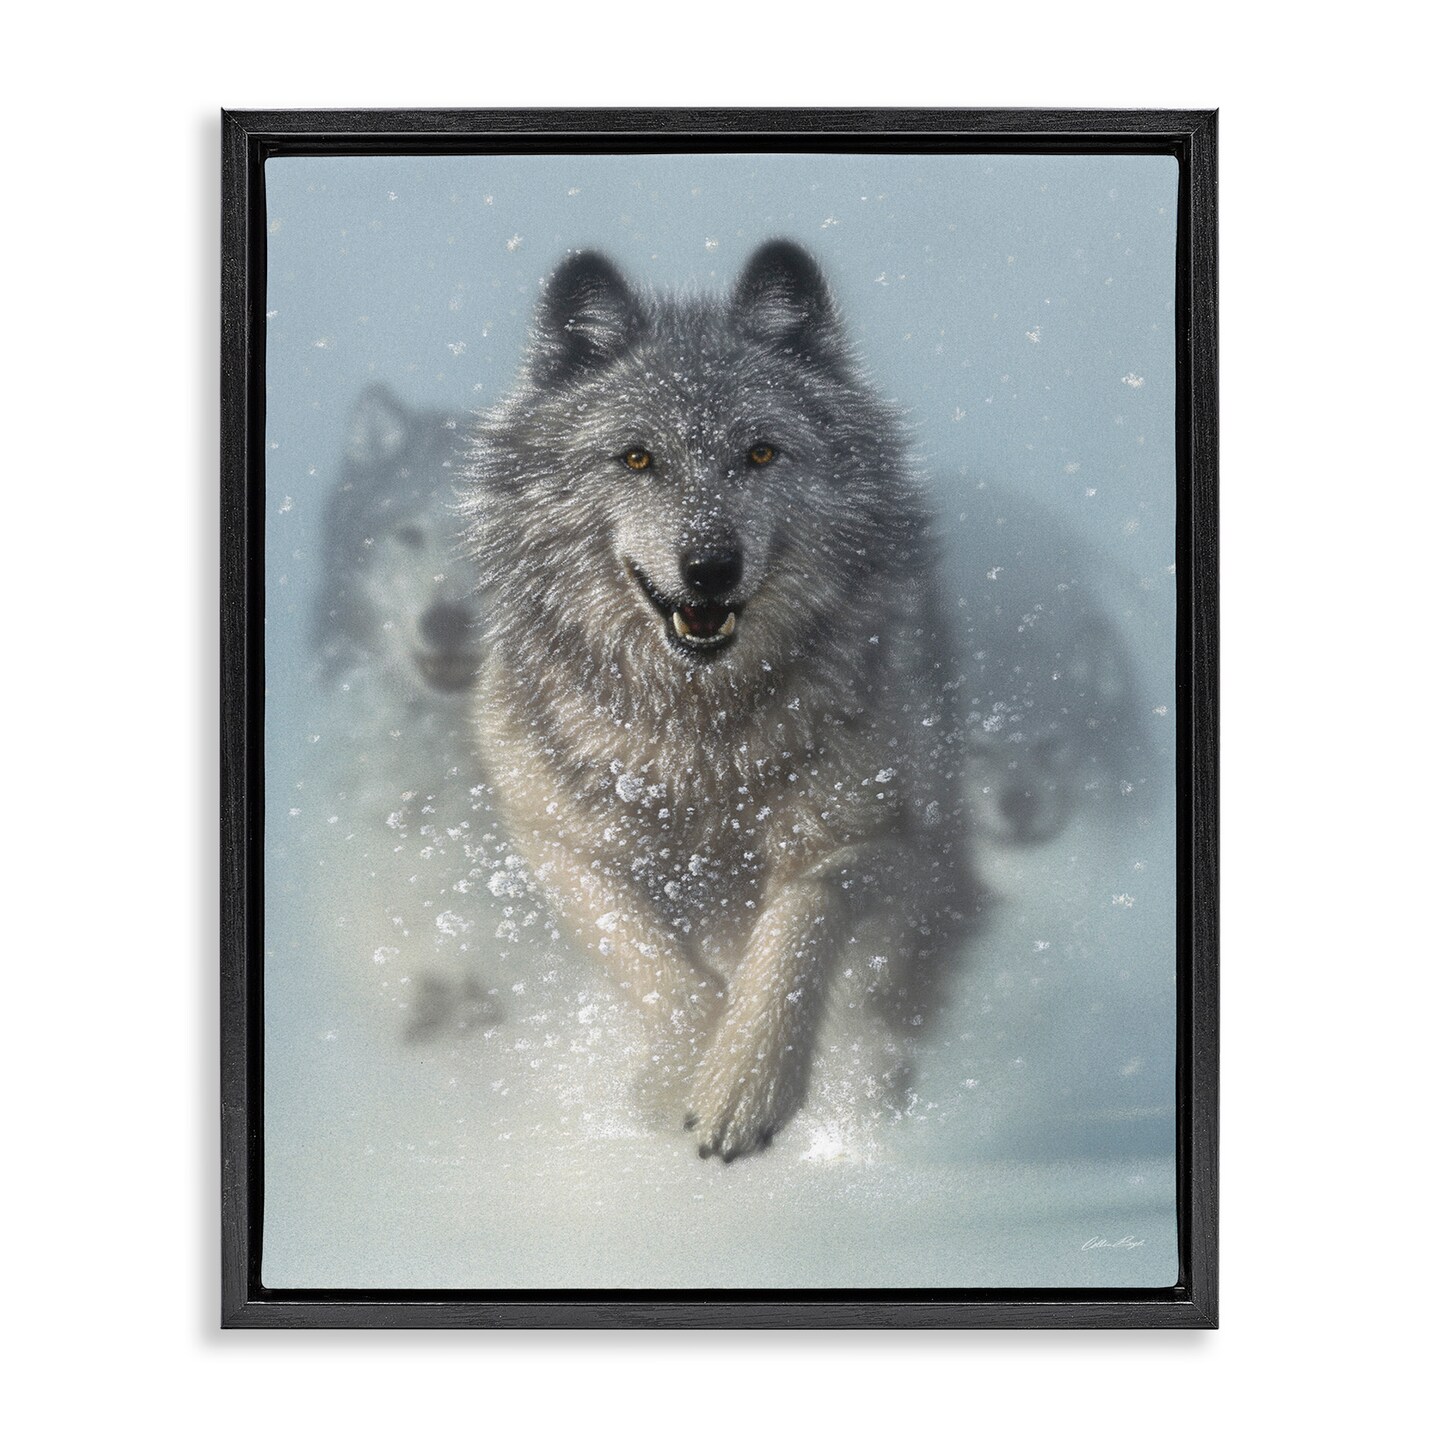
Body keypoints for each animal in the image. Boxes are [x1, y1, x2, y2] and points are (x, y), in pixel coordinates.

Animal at [462, 242, 970, 1160]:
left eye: (761, 454)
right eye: (636, 459)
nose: (709, 567)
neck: (698, 740)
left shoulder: (889, 841)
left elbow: (800, 918)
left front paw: (744, 1084)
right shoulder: (556, 842)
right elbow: (653, 962)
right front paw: (679, 1074)